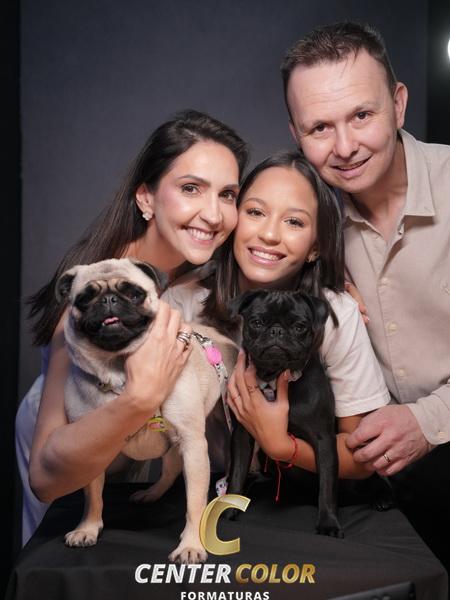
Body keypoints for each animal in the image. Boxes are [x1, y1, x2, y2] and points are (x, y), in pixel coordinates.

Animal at [56, 258, 238, 563]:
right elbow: (93, 495)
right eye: (84, 298)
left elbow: (195, 502)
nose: (108, 299)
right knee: (171, 468)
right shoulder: (91, 450)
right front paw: (88, 528)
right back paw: (152, 493)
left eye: (133, 293)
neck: (119, 371)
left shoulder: (192, 442)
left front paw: (191, 545)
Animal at [226, 289, 344, 538]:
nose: (277, 330)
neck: (274, 378)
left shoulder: (324, 441)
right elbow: (237, 471)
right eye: (256, 322)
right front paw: (229, 506)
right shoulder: (241, 436)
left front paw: (328, 523)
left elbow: (327, 486)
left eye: (299, 326)